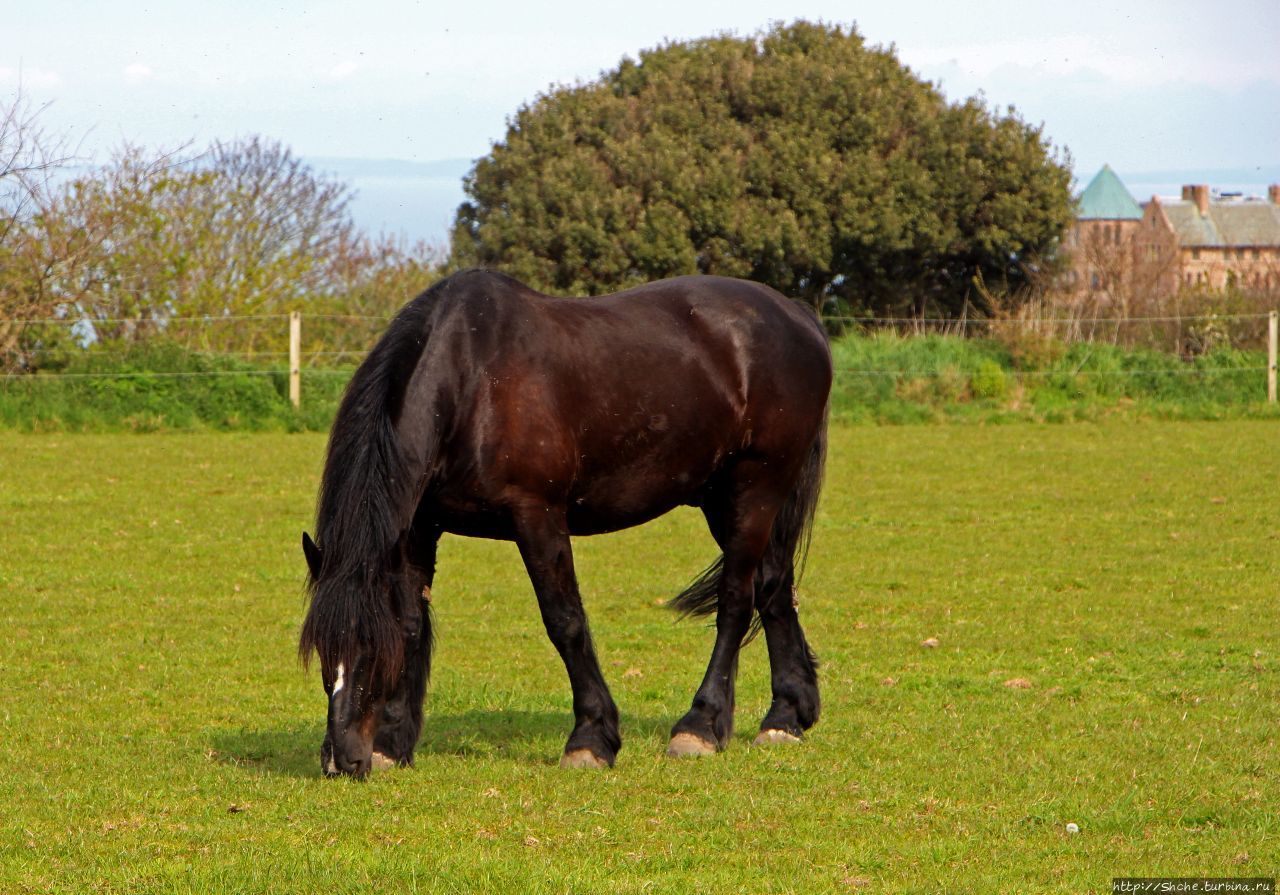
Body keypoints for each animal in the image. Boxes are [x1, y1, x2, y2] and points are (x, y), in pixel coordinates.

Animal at [296, 267, 829, 778]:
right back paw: (785, 717)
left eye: (370, 648)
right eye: (322, 650)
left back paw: (700, 725)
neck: (471, 381)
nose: (341, 759)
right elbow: (410, 624)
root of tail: (796, 315)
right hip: (727, 499)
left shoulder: (537, 515)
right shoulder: (418, 527)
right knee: (774, 587)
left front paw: (591, 738)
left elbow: (564, 621)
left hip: (756, 489)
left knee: (737, 600)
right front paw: (392, 743)